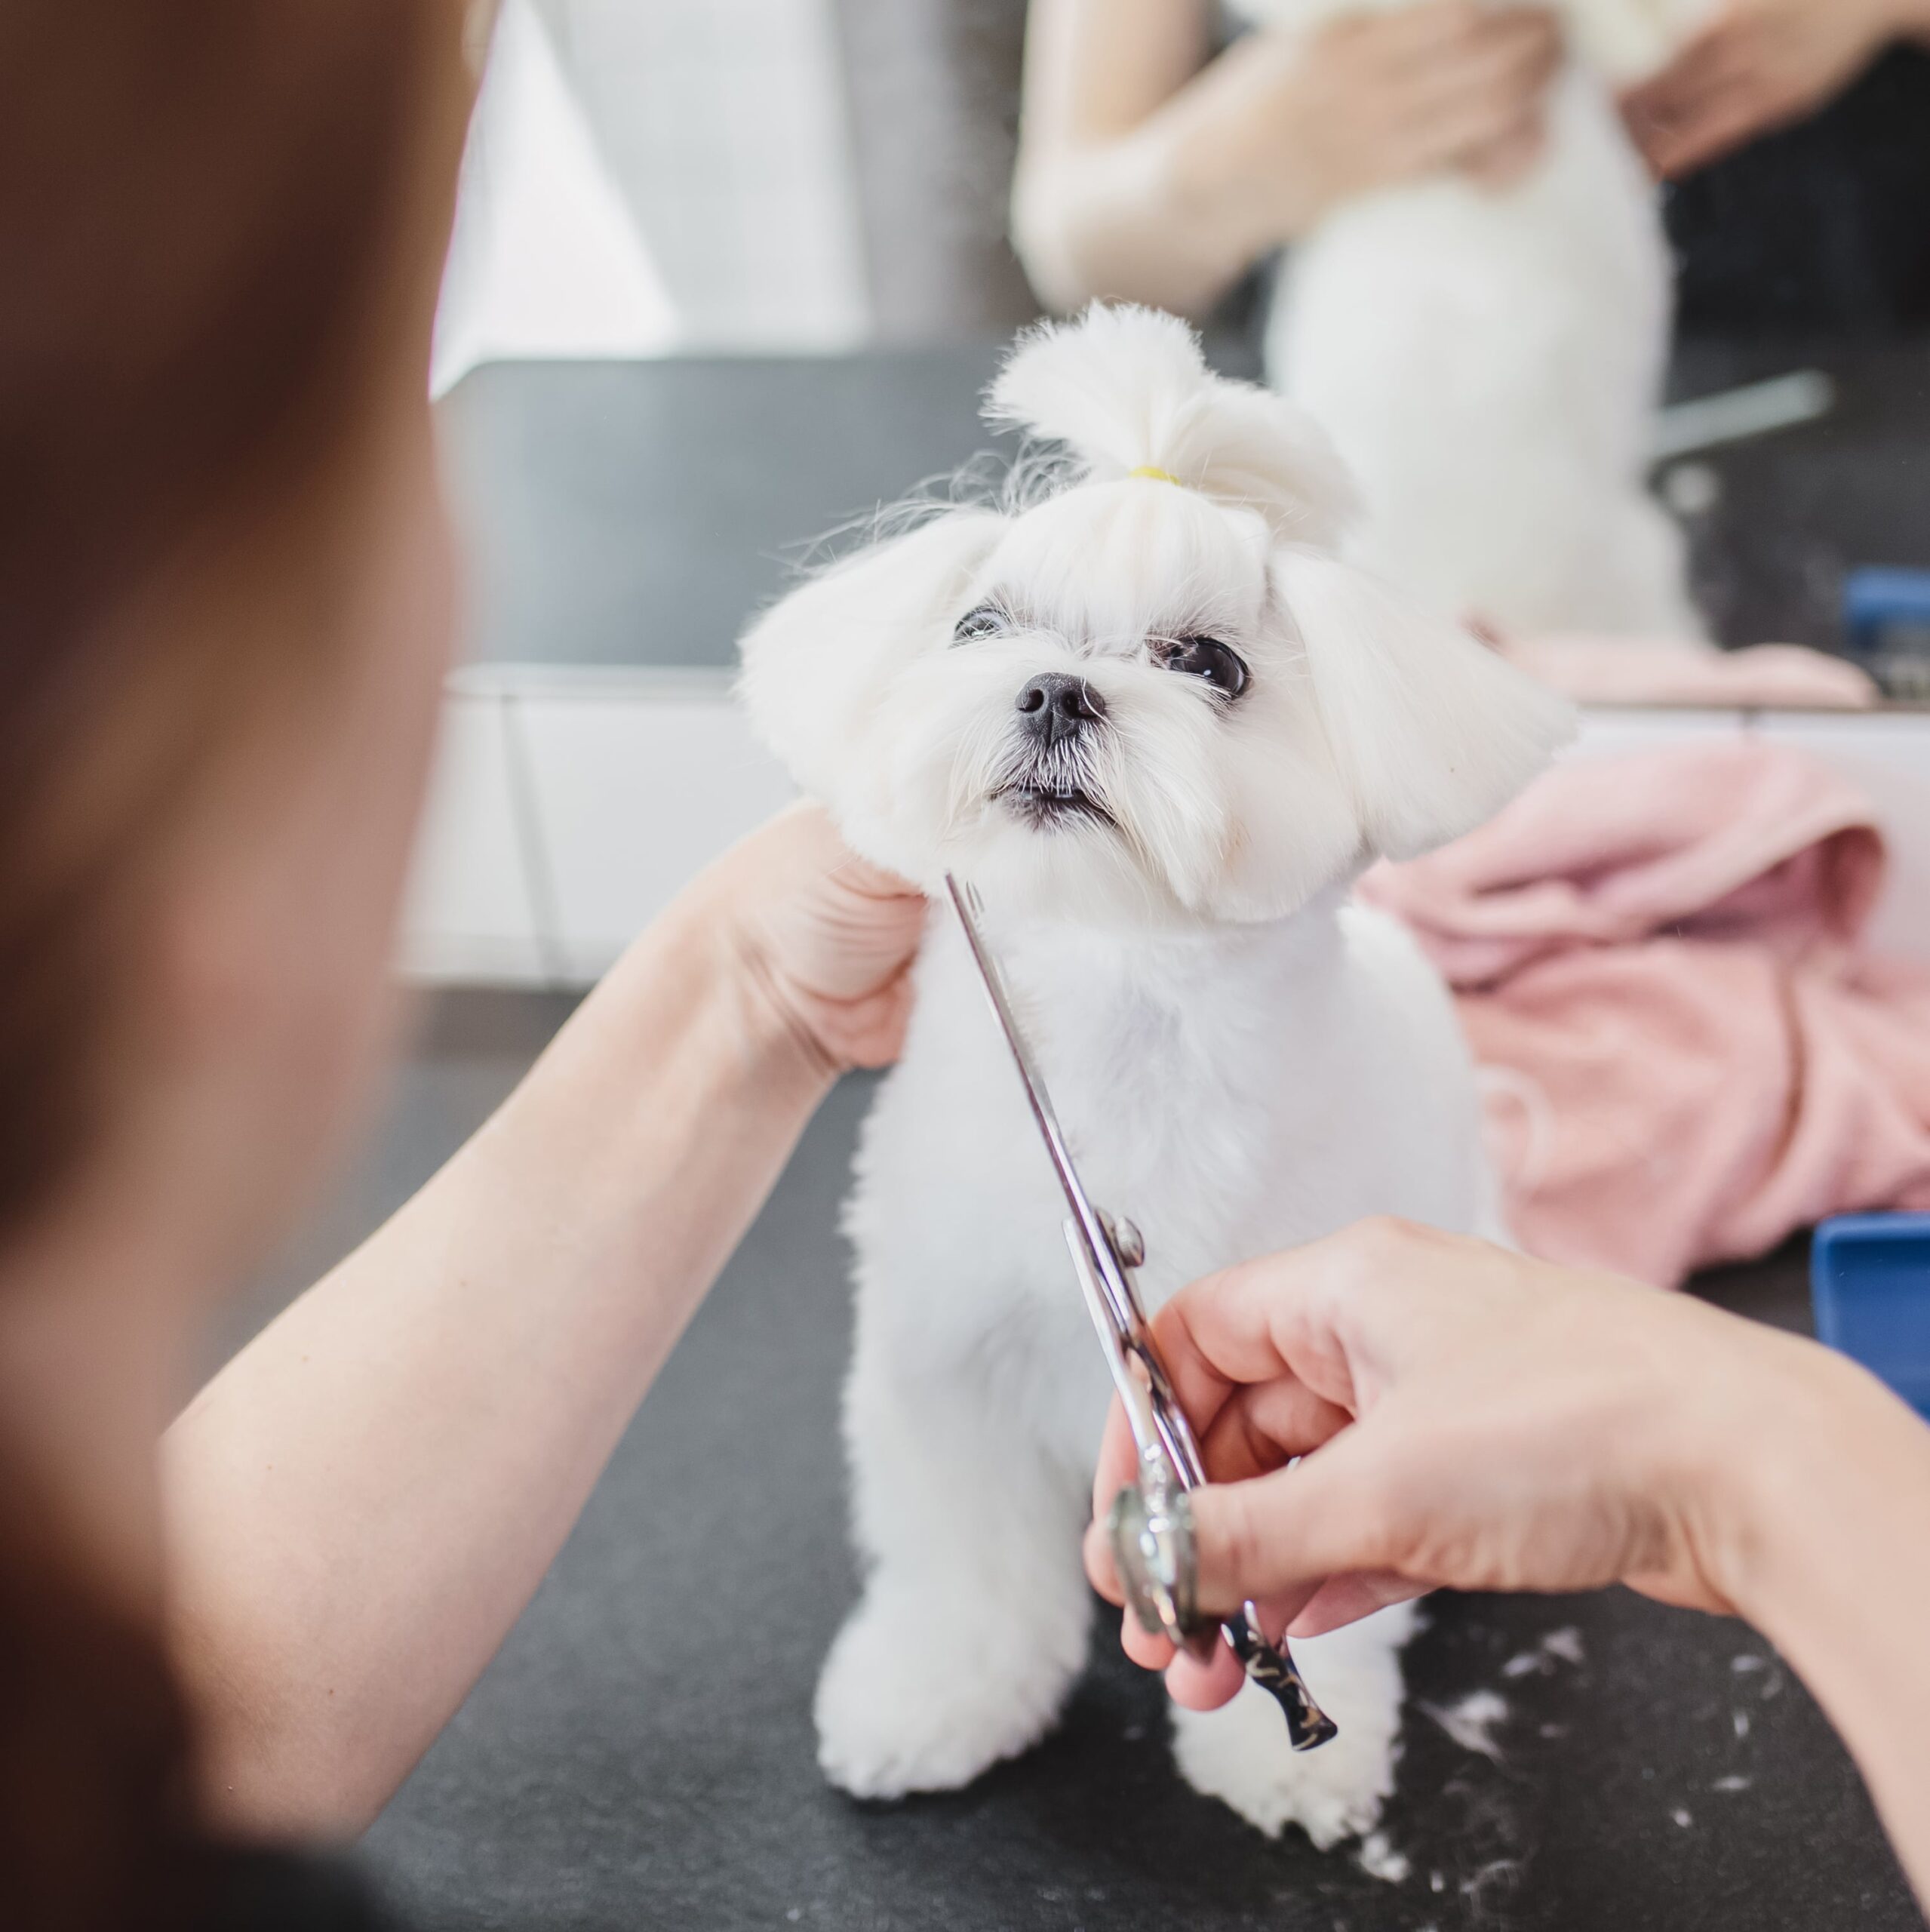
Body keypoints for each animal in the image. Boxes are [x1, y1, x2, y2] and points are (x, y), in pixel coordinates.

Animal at [734, 301, 1569, 1839]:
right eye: (980, 626)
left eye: (1209, 666)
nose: (1053, 690)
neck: (1123, 1023)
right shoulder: (944, 1362)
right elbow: (962, 1562)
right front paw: (933, 1698)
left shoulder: (1317, 1395)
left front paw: (1297, 1750)